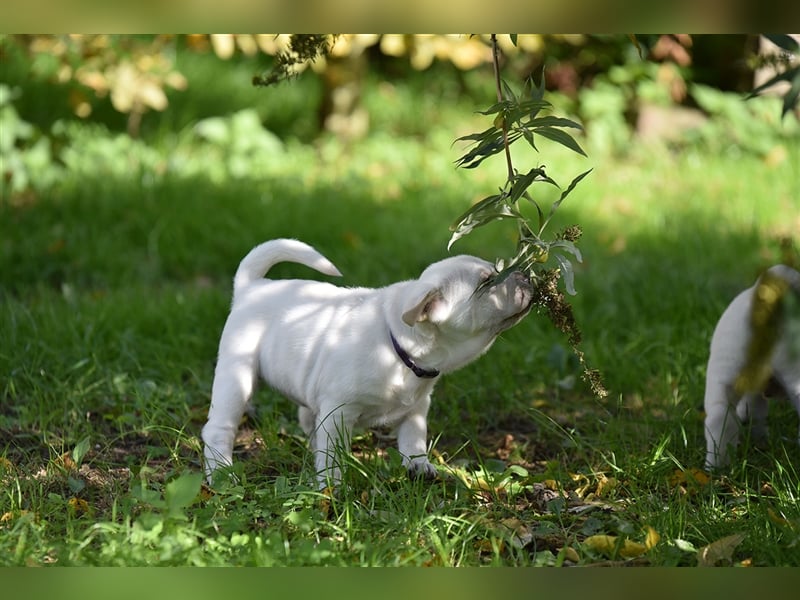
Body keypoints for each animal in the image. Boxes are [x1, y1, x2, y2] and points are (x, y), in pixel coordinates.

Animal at [203, 239, 536, 488]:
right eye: (487, 282)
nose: (526, 274)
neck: (400, 350)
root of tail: (252, 287)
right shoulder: (338, 412)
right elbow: (333, 456)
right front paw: (333, 489)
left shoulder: (418, 407)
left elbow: (414, 438)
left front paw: (419, 467)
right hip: (237, 376)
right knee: (219, 429)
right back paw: (221, 473)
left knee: (308, 422)